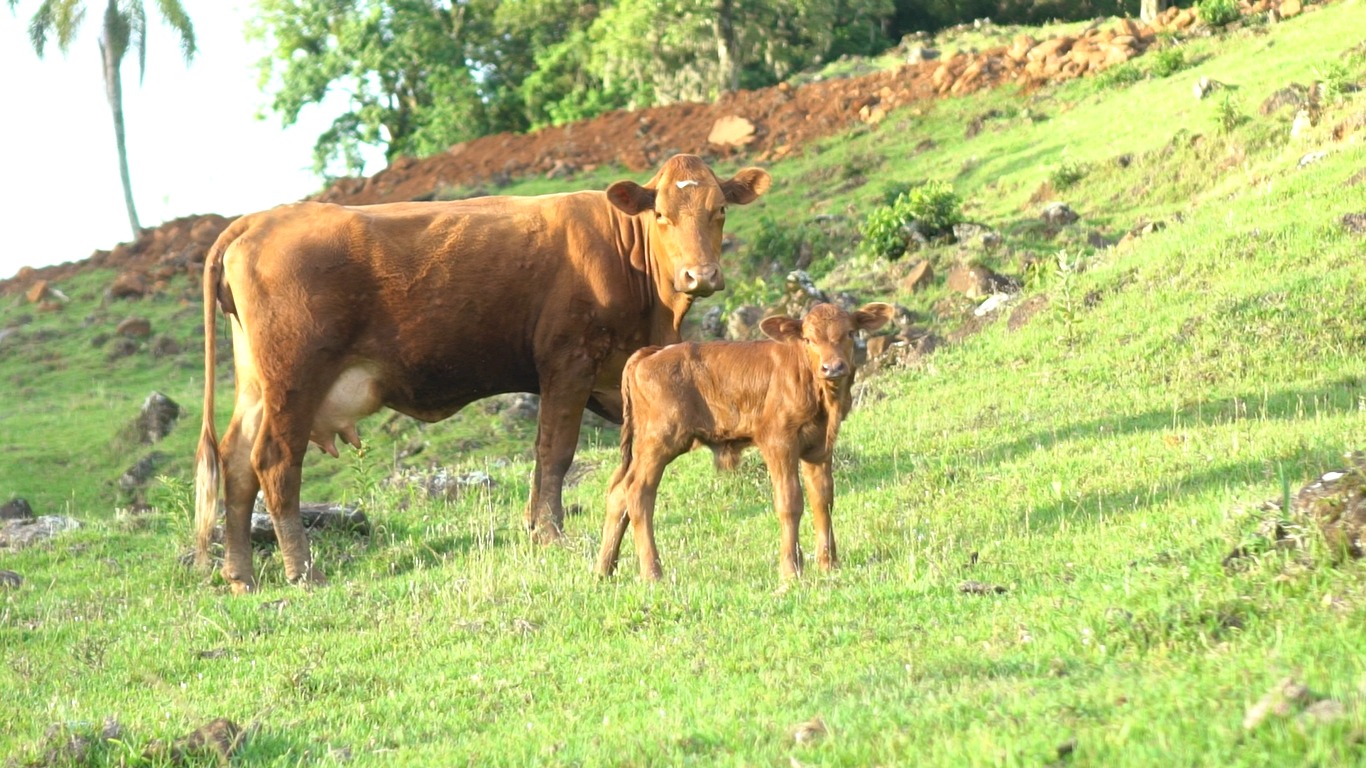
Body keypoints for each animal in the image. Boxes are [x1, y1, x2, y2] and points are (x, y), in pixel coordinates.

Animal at [192, 152, 770, 587]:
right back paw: (302, 570)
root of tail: (258, 219)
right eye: (662, 215)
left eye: (719, 209)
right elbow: (554, 452)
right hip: (293, 381)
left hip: (257, 385)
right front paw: (550, 534)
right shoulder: (568, 362)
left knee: (237, 464)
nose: (700, 275)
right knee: (275, 463)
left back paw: (241, 575)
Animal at [592, 299, 890, 579]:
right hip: (659, 440)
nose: (833, 367)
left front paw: (829, 564)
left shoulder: (819, 447)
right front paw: (791, 570)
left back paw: (603, 571)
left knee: (618, 492)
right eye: (808, 339)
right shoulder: (778, 441)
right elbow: (789, 501)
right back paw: (652, 573)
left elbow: (822, 498)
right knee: (638, 493)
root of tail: (650, 353)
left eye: (850, 333)